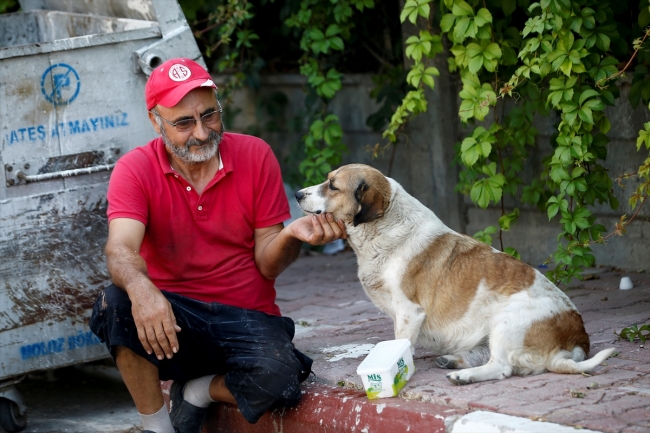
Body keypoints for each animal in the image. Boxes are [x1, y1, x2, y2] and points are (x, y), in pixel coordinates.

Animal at [294, 164, 612, 384]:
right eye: (327, 180)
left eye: (332, 186)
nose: (297, 193)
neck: (384, 230)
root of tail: (578, 338)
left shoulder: (408, 312)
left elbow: (400, 343)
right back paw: (454, 362)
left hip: (506, 323)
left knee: (502, 368)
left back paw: (465, 376)